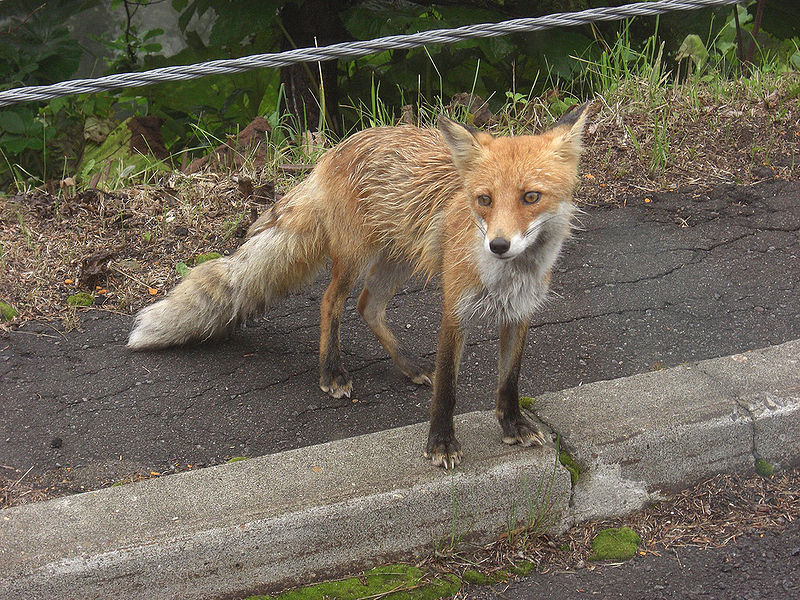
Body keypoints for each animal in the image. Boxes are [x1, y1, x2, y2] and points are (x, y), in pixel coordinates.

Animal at [130, 103, 592, 468]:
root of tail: (336, 149)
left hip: (397, 260)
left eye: (531, 197)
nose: (497, 245)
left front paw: (513, 426)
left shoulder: (520, 313)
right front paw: (441, 444)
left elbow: (509, 381)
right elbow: (447, 388)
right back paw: (332, 372)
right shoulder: (454, 310)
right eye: (484, 200)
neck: (509, 276)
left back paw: (408, 365)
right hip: (355, 257)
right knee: (331, 303)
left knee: (368, 306)